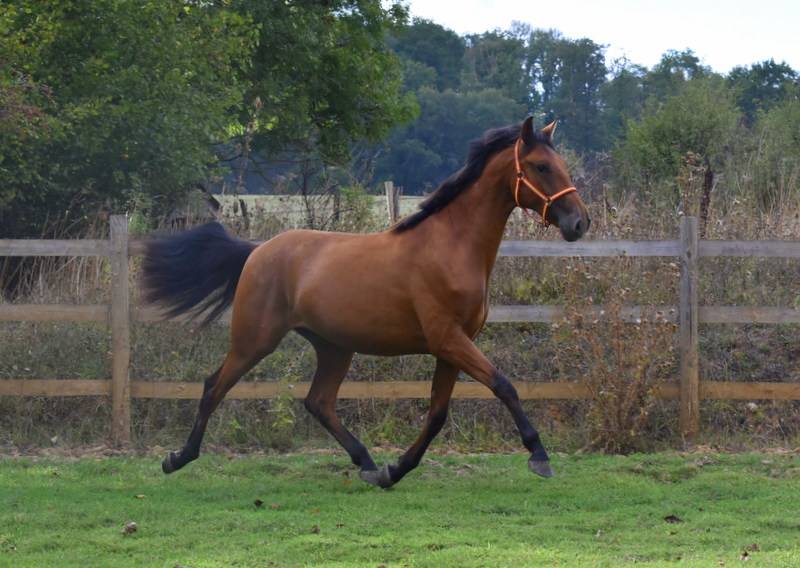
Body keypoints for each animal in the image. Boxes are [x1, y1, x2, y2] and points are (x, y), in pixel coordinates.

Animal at [142, 117, 590, 488]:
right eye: (541, 166)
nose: (580, 223)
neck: (451, 246)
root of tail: (257, 251)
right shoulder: (448, 340)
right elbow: (504, 386)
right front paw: (539, 456)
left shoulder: (451, 347)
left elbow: (437, 413)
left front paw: (395, 471)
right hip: (255, 340)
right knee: (213, 386)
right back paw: (178, 458)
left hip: (334, 346)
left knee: (318, 402)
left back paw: (368, 464)